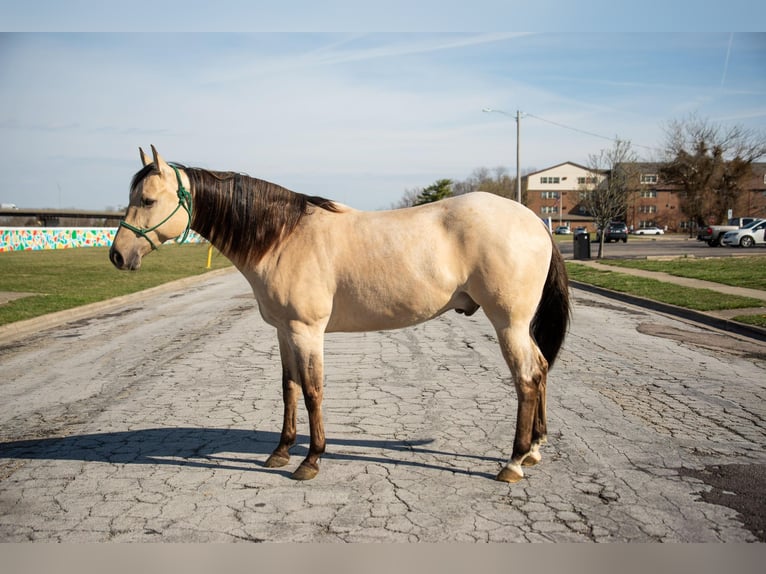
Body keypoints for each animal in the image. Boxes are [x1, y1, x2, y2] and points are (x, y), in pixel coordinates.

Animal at [109, 146, 568, 484]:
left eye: (147, 200)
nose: (118, 255)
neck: (284, 236)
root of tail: (535, 222)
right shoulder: (283, 332)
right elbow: (289, 388)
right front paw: (280, 452)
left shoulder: (307, 331)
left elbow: (313, 391)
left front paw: (310, 460)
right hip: (519, 326)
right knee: (542, 369)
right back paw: (534, 451)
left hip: (508, 323)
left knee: (527, 379)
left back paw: (512, 463)